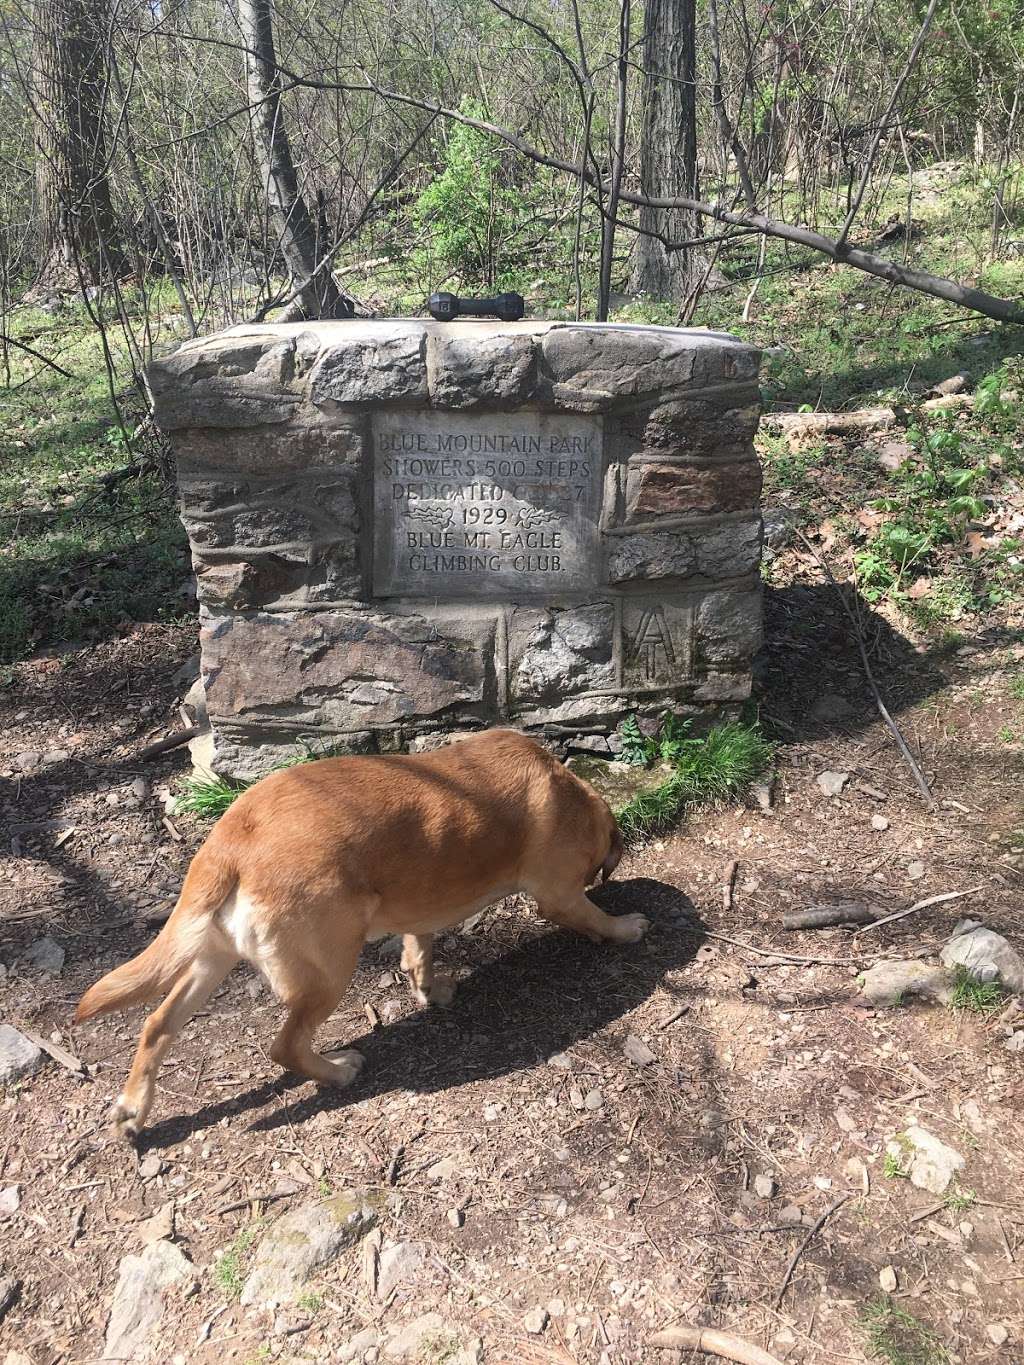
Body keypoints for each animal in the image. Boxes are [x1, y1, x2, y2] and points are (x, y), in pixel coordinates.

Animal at [76, 731, 649, 1135]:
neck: (570, 791)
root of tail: (230, 840)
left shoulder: (421, 911)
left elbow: (419, 950)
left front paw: (428, 987)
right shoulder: (560, 895)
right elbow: (592, 915)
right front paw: (624, 928)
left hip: (210, 961)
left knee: (156, 1025)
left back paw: (133, 1109)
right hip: (329, 971)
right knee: (285, 1046)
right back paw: (337, 1071)